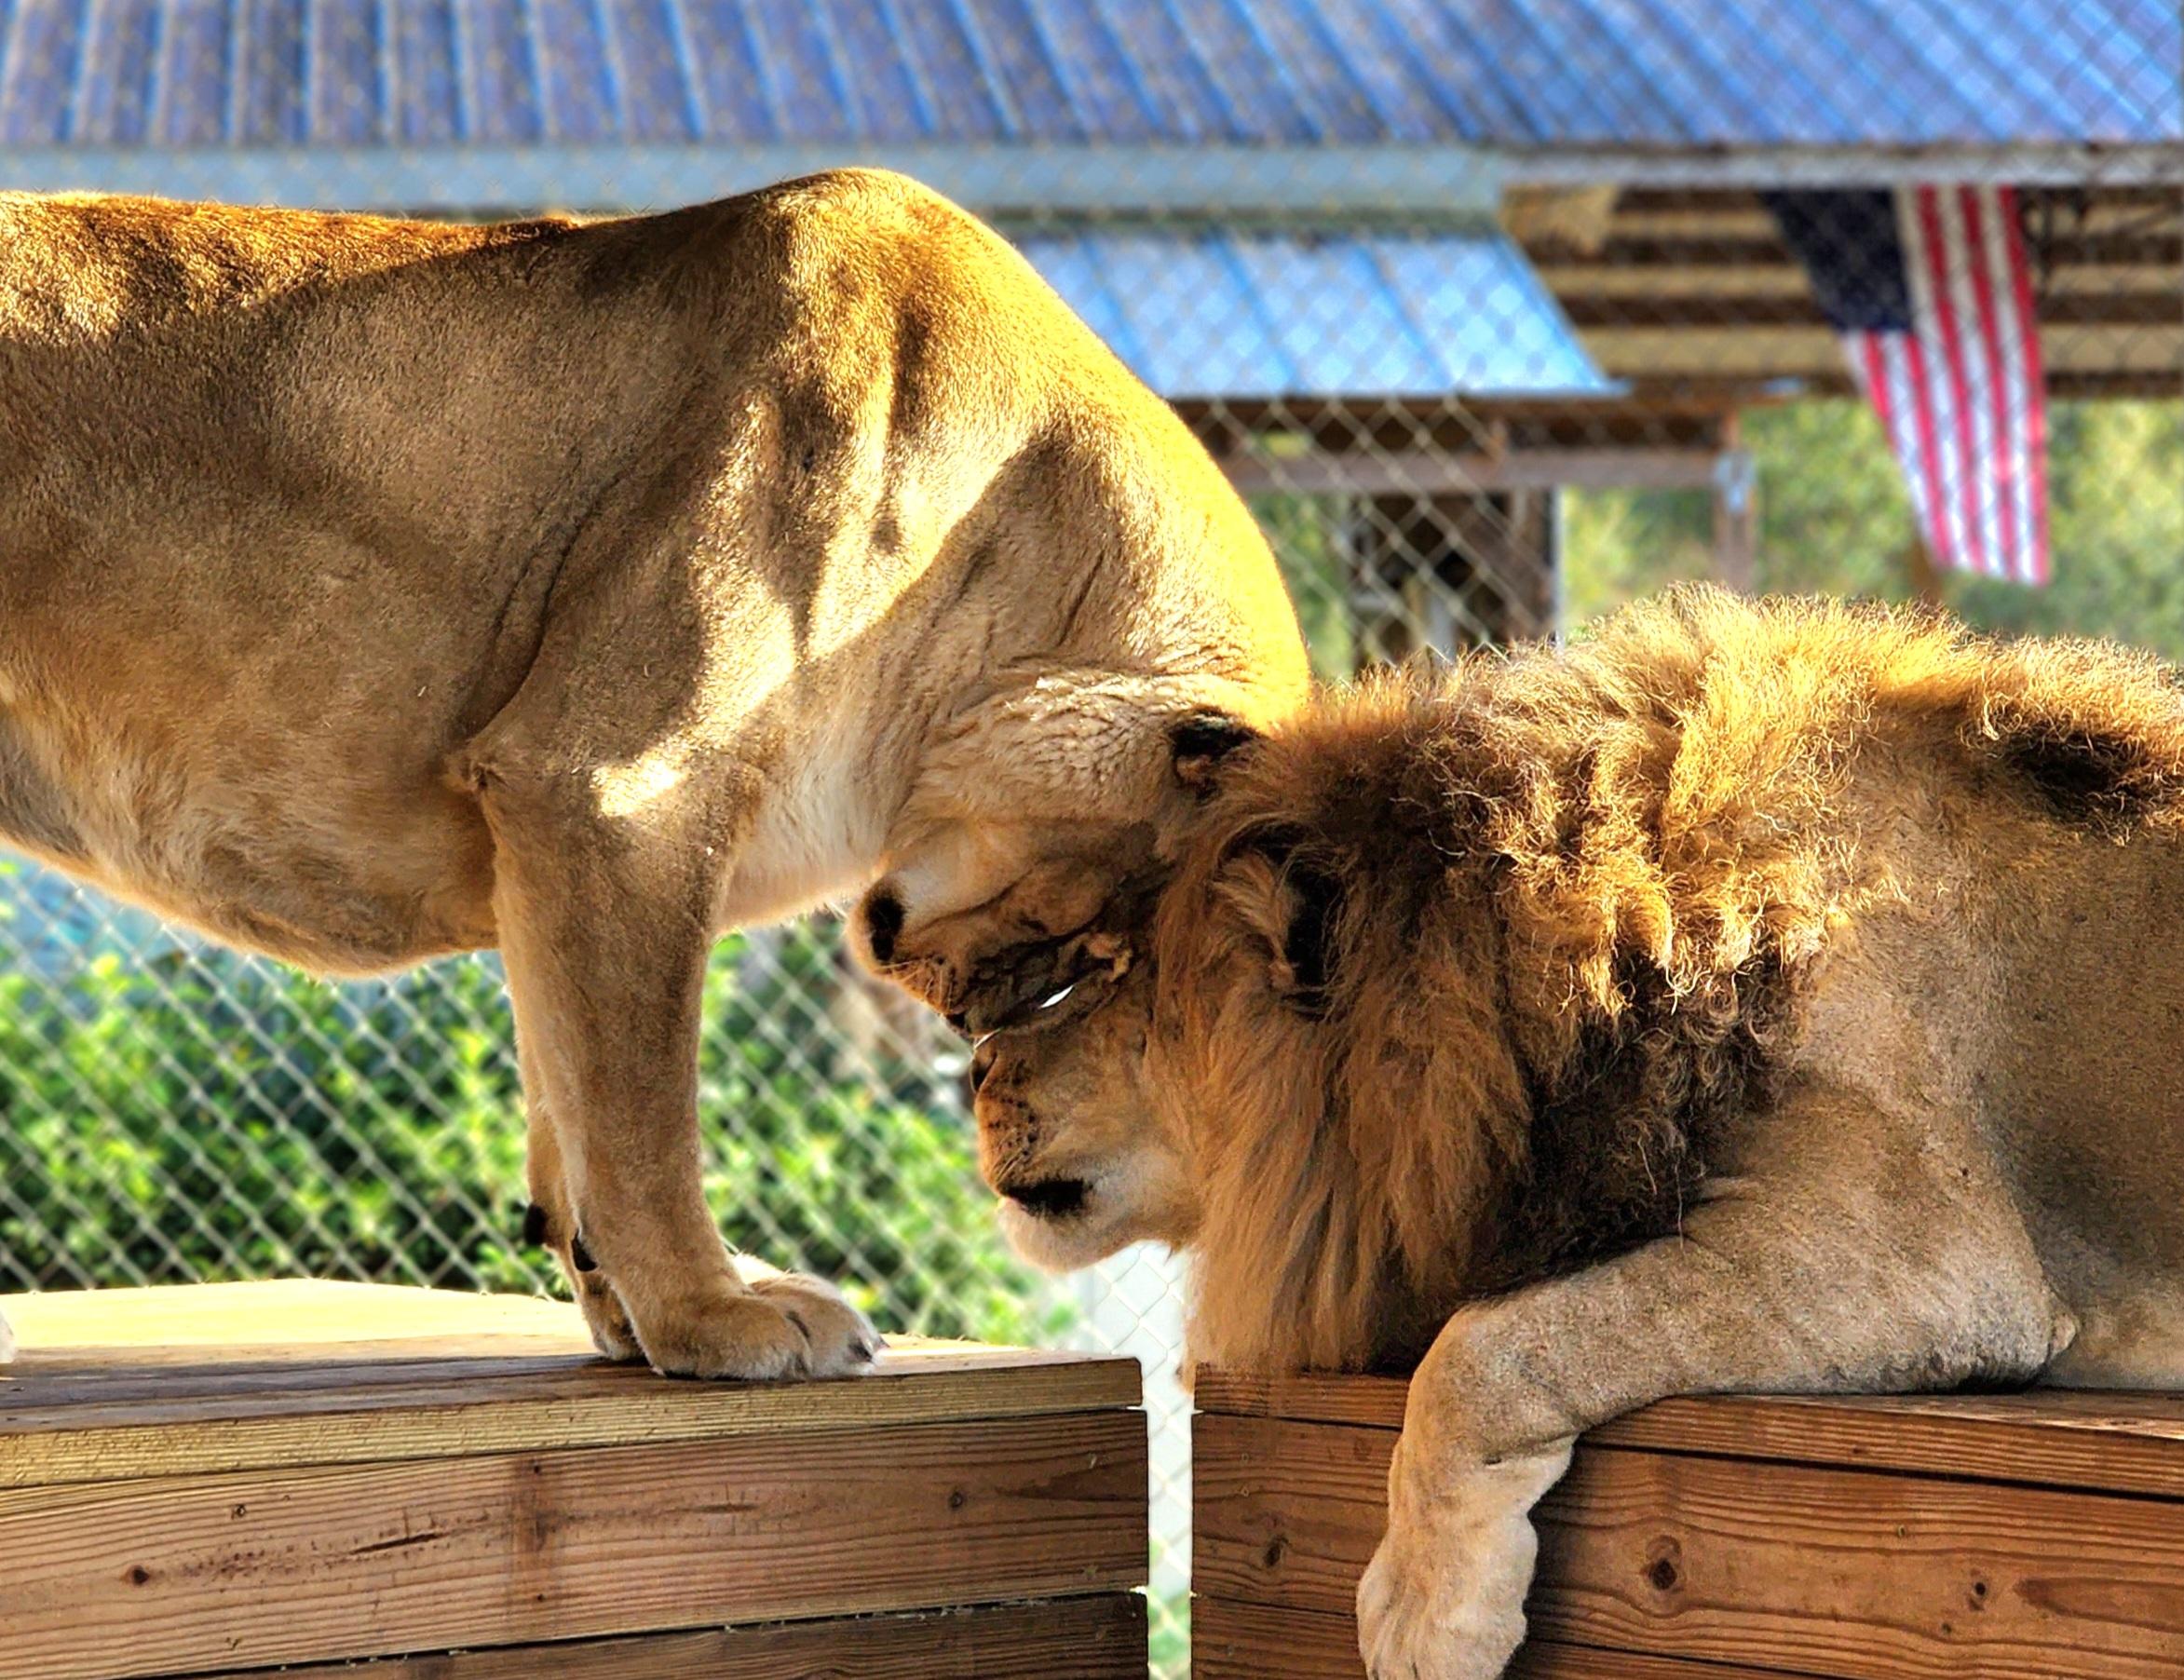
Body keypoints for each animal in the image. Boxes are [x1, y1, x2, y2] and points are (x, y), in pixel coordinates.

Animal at [0, 169, 1308, 1377]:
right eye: (1103, 931)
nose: (979, 1029)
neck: (999, 529)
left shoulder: (550, 838)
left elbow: (566, 1091)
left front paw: (633, 1313)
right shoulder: (618, 790)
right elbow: (641, 1112)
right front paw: (714, 1313)